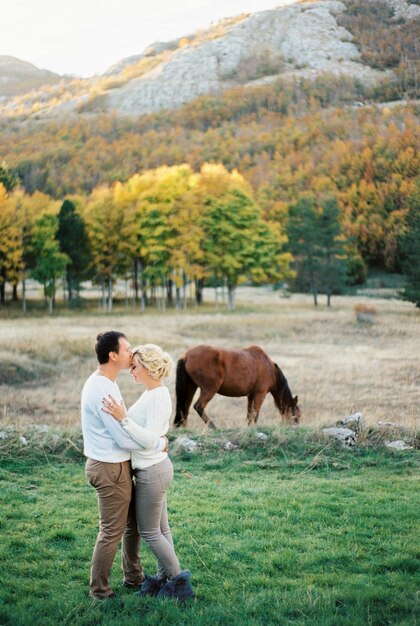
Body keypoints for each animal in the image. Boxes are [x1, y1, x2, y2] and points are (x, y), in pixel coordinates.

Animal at [172, 344, 300, 426]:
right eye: (297, 416)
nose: (295, 428)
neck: (270, 368)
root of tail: (187, 355)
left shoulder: (251, 395)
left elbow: (249, 414)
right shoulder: (260, 394)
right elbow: (255, 414)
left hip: (190, 387)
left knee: (185, 408)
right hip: (209, 389)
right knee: (198, 406)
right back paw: (214, 427)